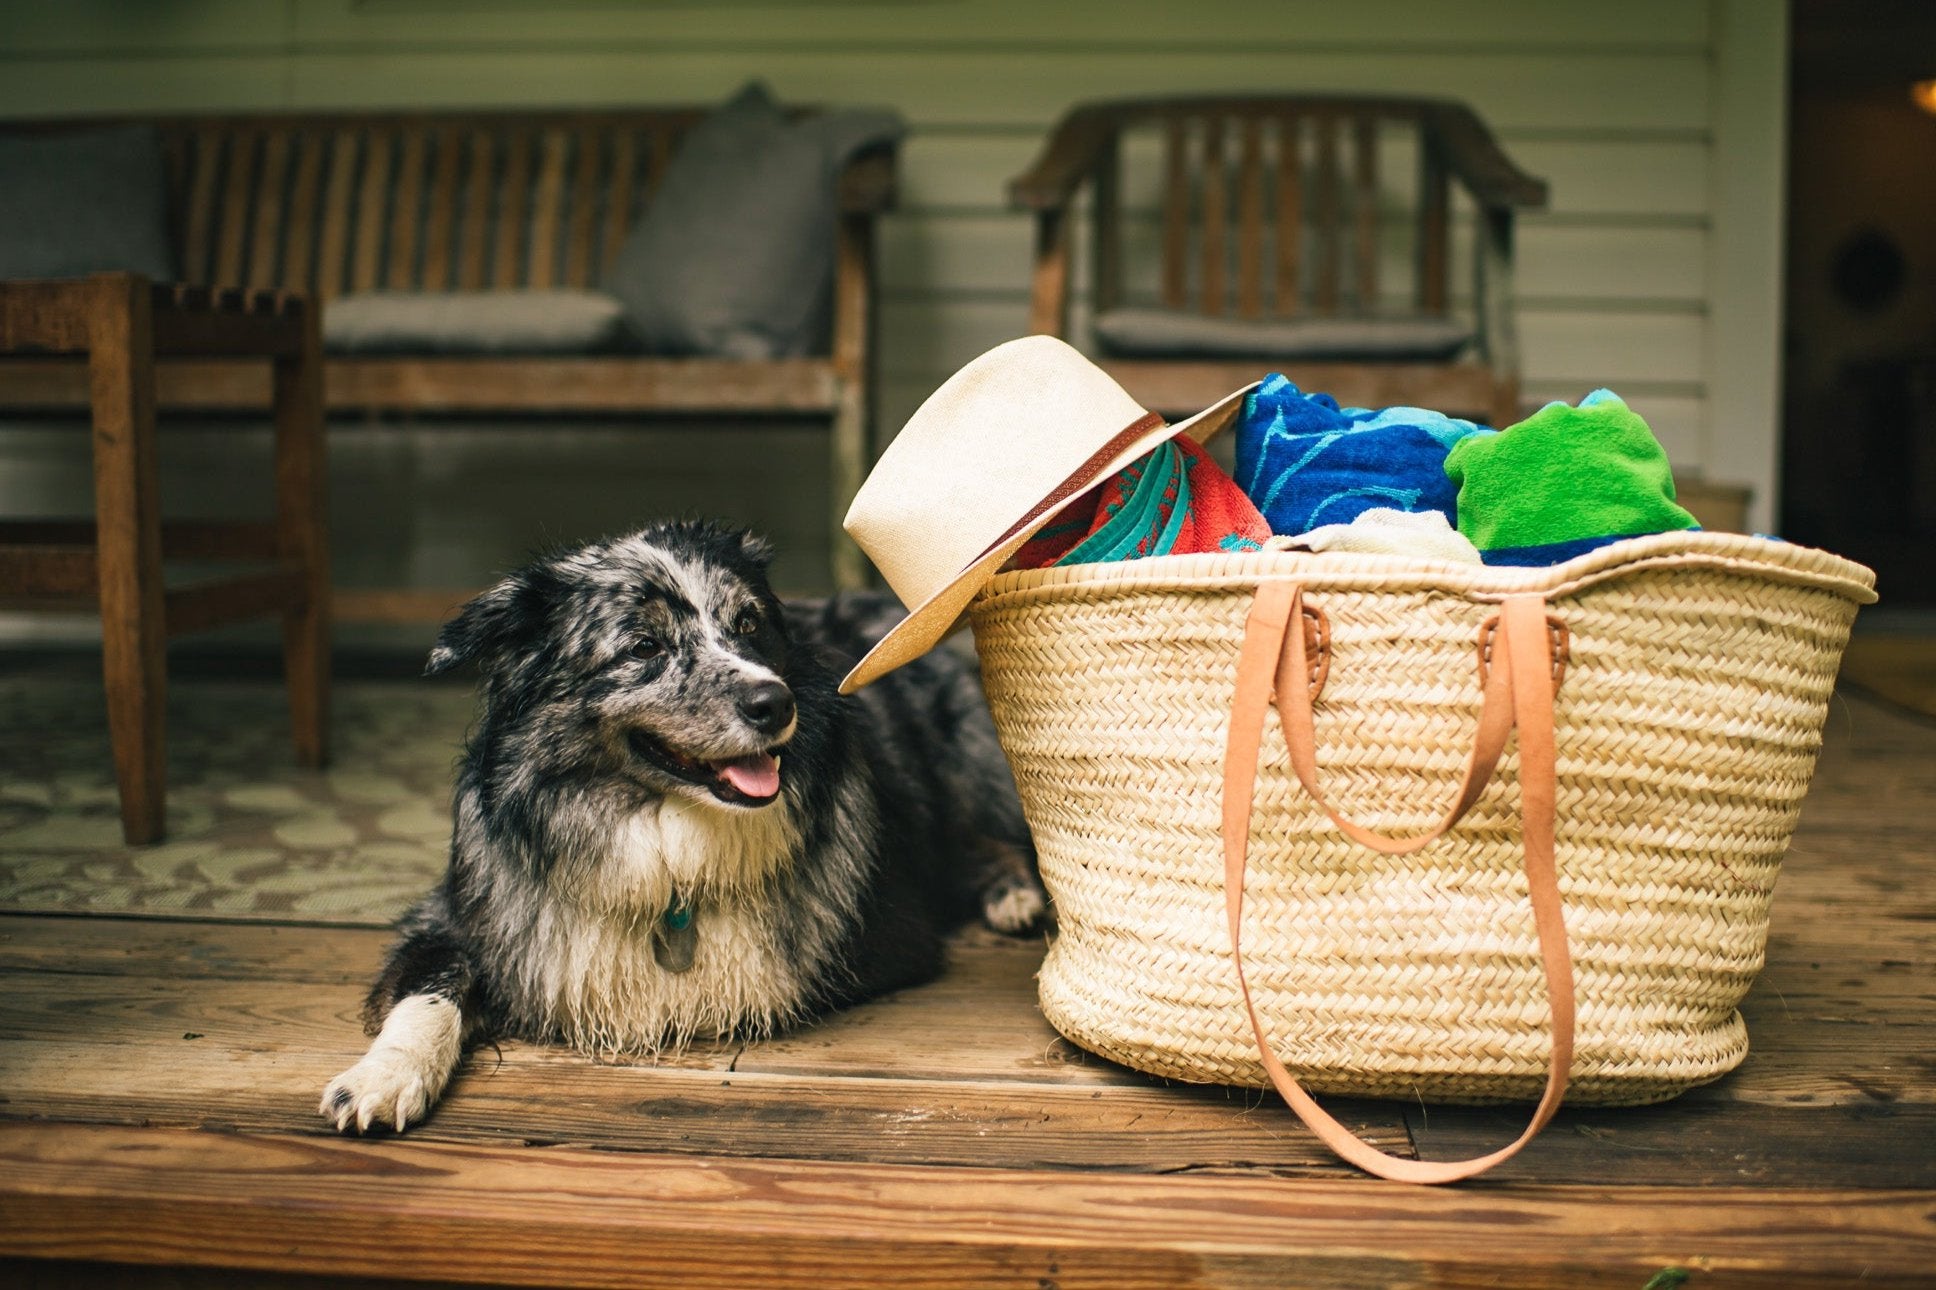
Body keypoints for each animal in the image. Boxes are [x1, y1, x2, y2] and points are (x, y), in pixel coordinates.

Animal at [319, 519, 1045, 1131]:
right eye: (644, 647)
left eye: (749, 625)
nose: (774, 703)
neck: (666, 829)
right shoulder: (456, 917)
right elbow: (430, 987)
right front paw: (383, 1075)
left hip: (970, 757)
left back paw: (1016, 896)